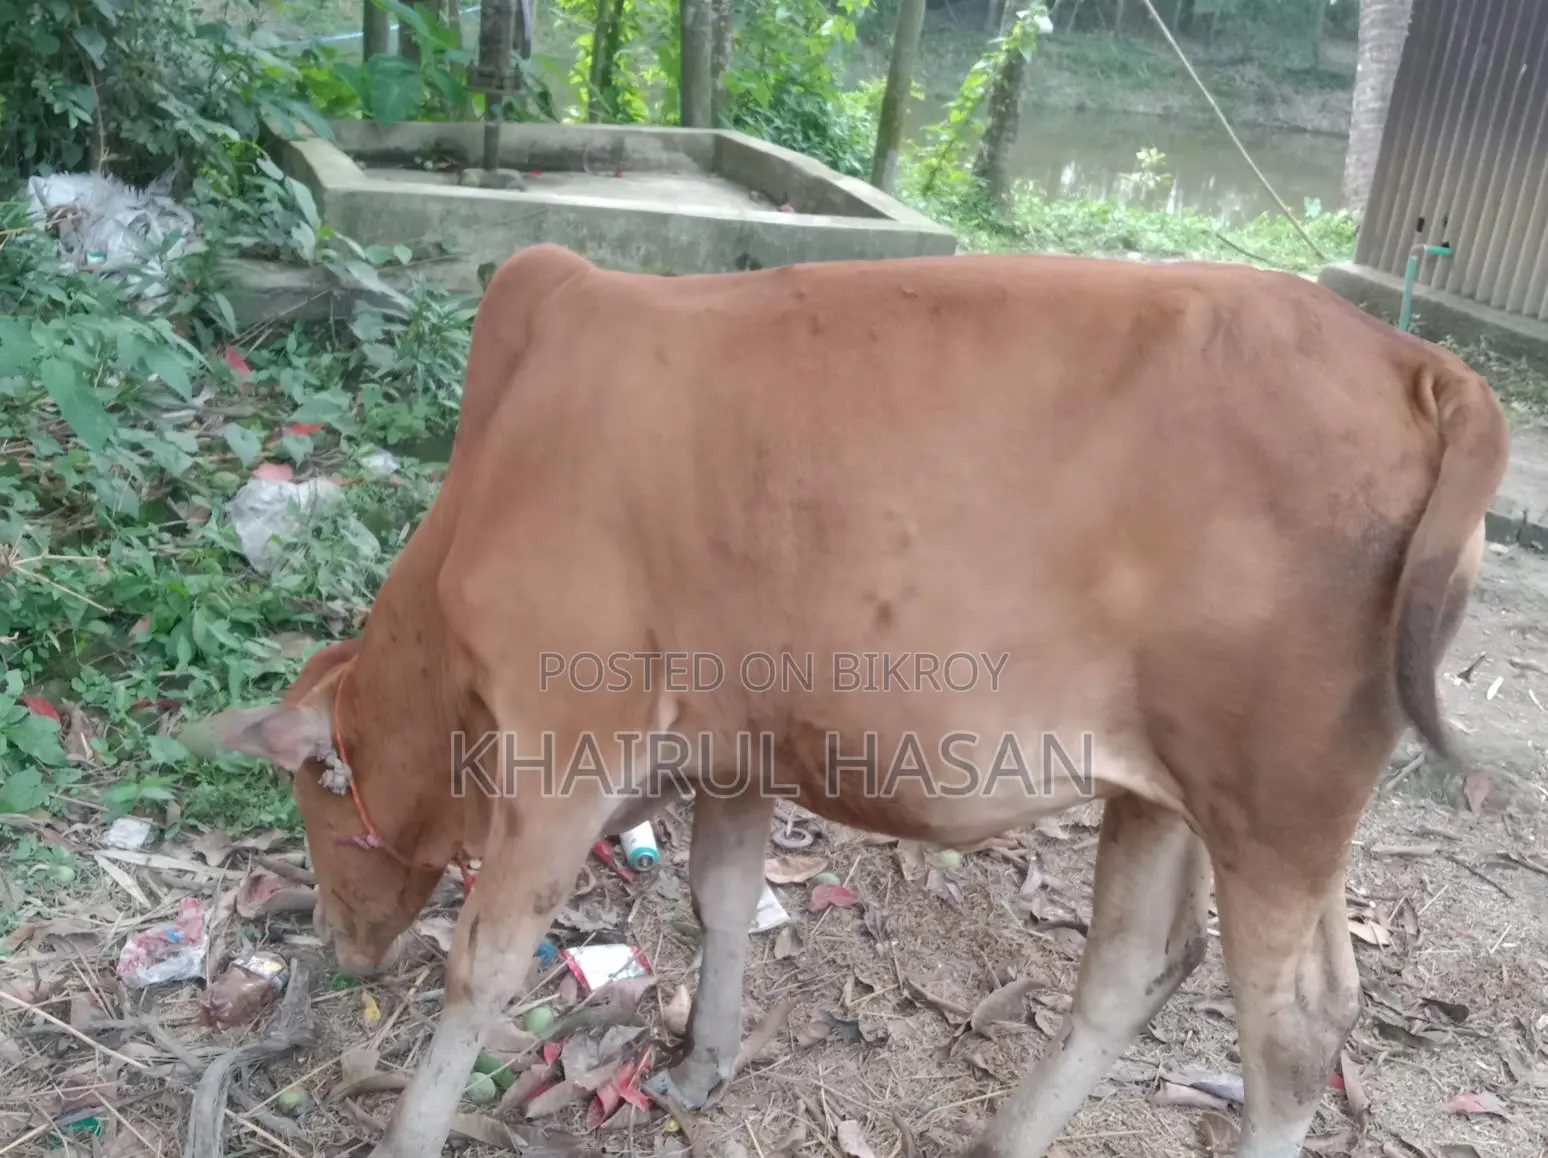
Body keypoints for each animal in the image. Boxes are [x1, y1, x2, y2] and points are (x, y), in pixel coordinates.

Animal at [183, 243, 1508, 1158]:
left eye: (313, 795)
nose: (336, 939)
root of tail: (1419, 363)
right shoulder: (733, 746)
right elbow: (723, 904)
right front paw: (700, 1066)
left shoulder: (565, 750)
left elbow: (488, 963)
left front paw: (411, 1125)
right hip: (1180, 791)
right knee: (1139, 965)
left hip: (1279, 807)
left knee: (1295, 1028)